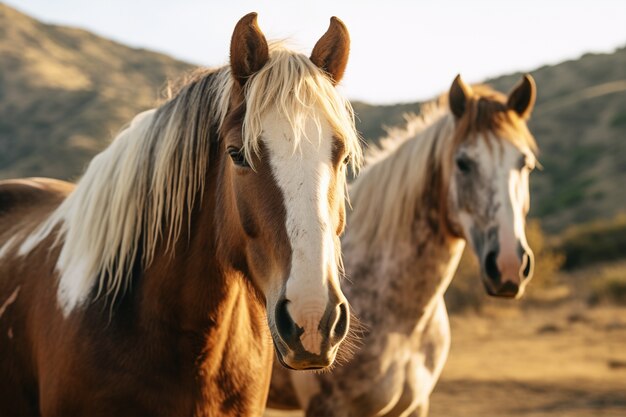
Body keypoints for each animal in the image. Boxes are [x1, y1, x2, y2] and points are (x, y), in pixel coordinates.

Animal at [264, 73, 536, 414]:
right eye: (463, 163)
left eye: (525, 163)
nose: (509, 266)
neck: (404, 322)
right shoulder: (327, 406)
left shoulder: (415, 405)